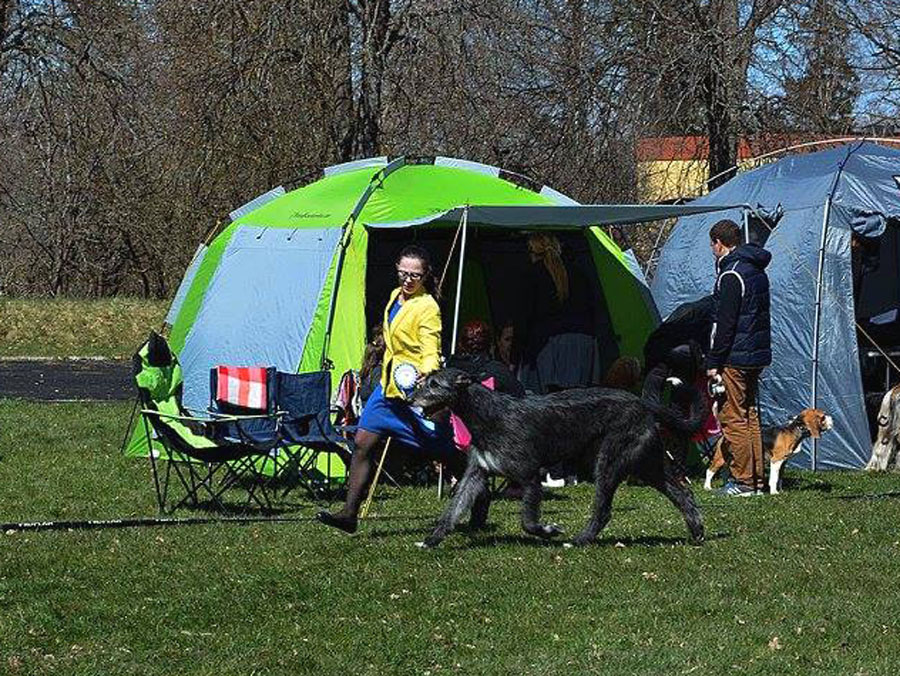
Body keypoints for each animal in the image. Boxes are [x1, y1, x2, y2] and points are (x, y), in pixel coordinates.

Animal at [410, 368, 712, 548]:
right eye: (425, 382)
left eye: (434, 385)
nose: (410, 398)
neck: (486, 414)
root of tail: (643, 403)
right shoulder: (476, 474)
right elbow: (452, 510)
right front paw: (431, 540)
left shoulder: (530, 477)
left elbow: (528, 521)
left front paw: (549, 530)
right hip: (648, 465)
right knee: (683, 494)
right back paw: (697, 531)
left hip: (610, 461)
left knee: (603, 510)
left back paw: (579, 540)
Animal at [704, 406, 836, 496]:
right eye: (823, 416)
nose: (833, 419)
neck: (795, 429)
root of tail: (724, 434)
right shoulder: (776, 461)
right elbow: (773, 478)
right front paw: (774, 493)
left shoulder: (784, 462)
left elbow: (780, 478)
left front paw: (780, 490)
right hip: (720, 458)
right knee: (709, 471)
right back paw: (707, 487)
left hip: (730, 459)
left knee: (724, 472)